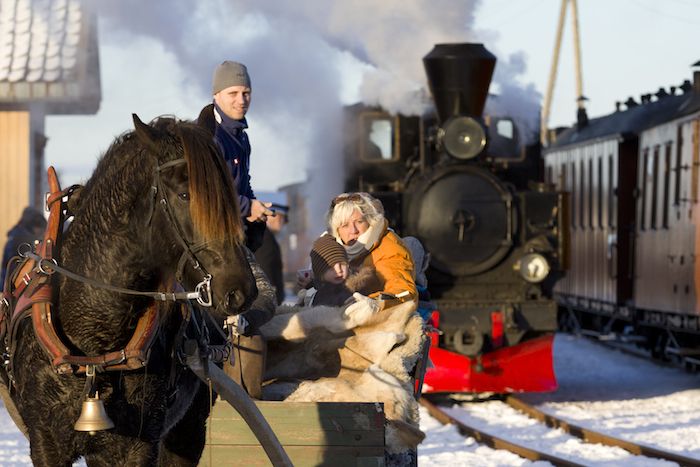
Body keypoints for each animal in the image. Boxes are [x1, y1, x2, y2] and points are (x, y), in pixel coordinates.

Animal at [4, 115, 256, 466]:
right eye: (184, 194)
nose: (240, 289)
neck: (94, 344)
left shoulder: (139, 444)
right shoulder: (46, 442)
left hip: (188, 427)